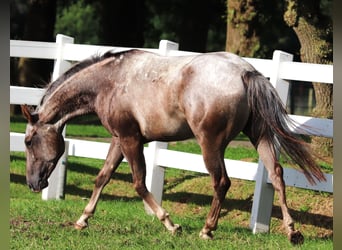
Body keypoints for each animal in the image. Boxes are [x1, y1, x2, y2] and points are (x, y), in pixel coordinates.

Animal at [21, 48, 326, 244]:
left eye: (27, 141)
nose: (33, 184)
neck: (109, 82)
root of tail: (246, 72)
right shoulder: (120, 139)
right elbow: (102, 177)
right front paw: (82, 220)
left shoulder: (130, 140)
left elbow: (139, 183)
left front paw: (170, 224)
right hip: (259, 135)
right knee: (276, 175)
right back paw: (292, 232)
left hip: (210, 144)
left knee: (222, 182)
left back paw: (207, 230)